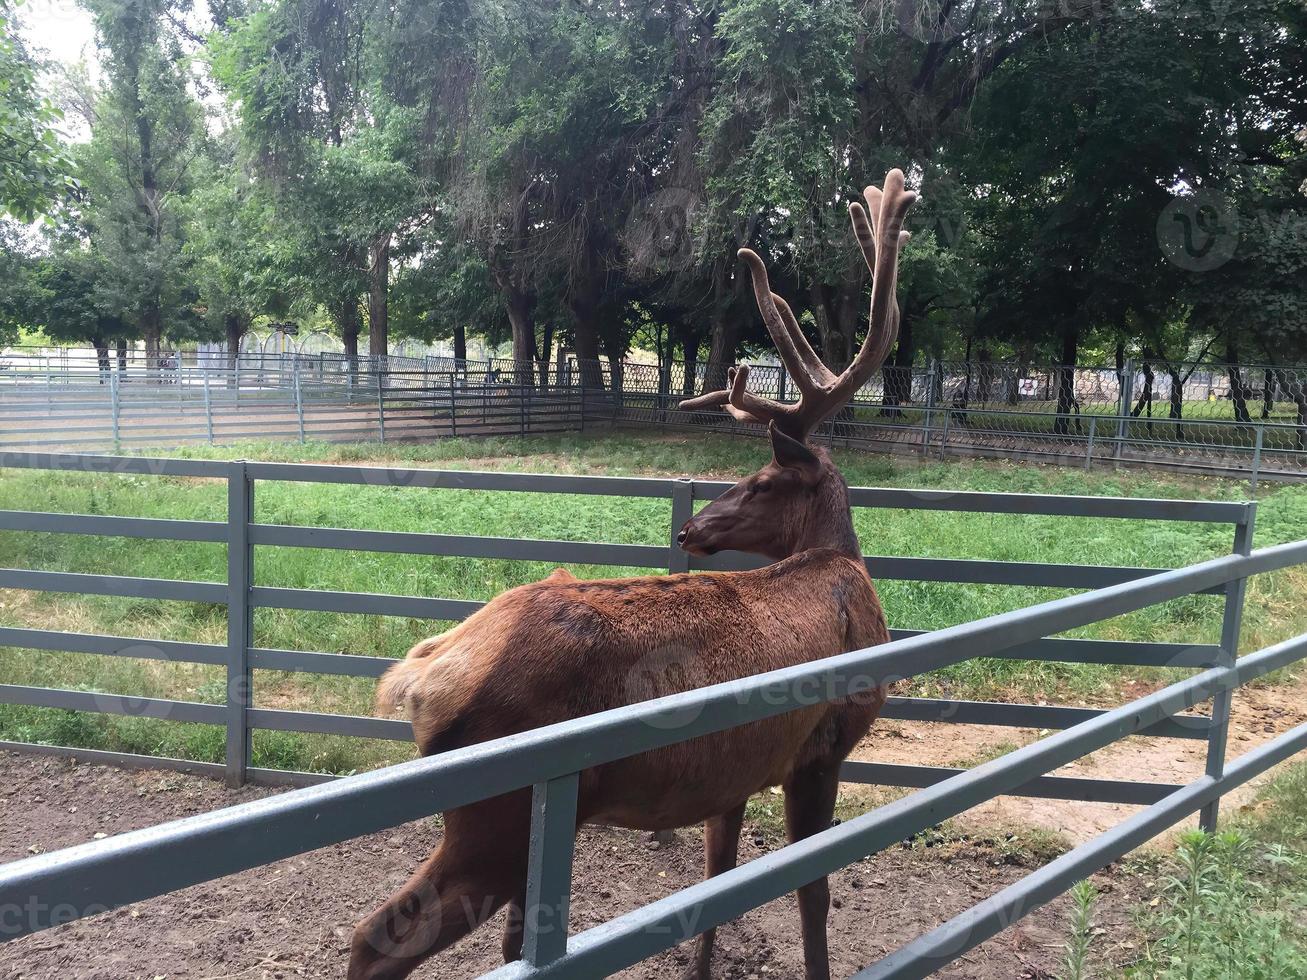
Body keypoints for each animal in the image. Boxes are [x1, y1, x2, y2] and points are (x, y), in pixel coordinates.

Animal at [350, 171, 920, 980]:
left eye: (757, 480)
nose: (691, 528)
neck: (842, 570)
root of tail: (422, 680)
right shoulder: (821, 750)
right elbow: (812, 892)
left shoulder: (736, 771)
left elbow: (718, 877)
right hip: (491, 816)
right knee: (376, 938)